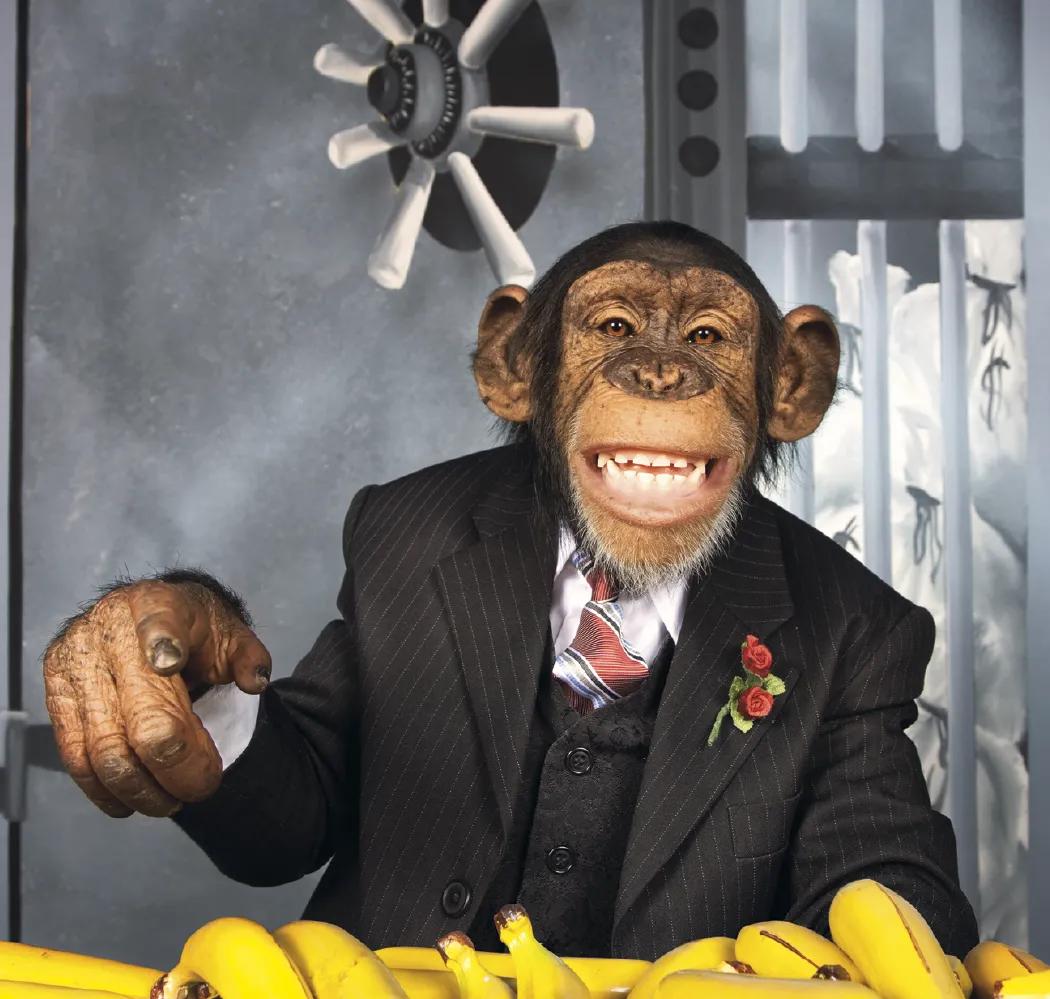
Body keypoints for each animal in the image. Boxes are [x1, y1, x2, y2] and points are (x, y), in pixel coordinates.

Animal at [42, 221, 977, 959]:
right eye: (614, 325)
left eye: (709, 336)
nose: (661, 374)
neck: (620, 571)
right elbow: (303, 790)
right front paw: (145, 646)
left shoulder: (878, 676)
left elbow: (884, 868)